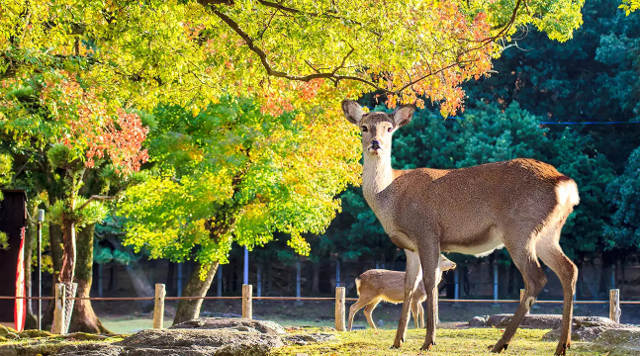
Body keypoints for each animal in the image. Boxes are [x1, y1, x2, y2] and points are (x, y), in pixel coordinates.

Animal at [342, 98, 584, 354]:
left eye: (389, 129)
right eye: (364, 127)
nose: (376, 144)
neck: (390, 198)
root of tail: (566, 184)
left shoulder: (427, 231)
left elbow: (430, 283)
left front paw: (429, 341)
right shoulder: (409, 246)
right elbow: (409, 286)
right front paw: (398, 340)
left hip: (520, 228)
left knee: (536, 278)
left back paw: (501, 343)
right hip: (548, 233)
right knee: (569, 269)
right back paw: (563, 344)